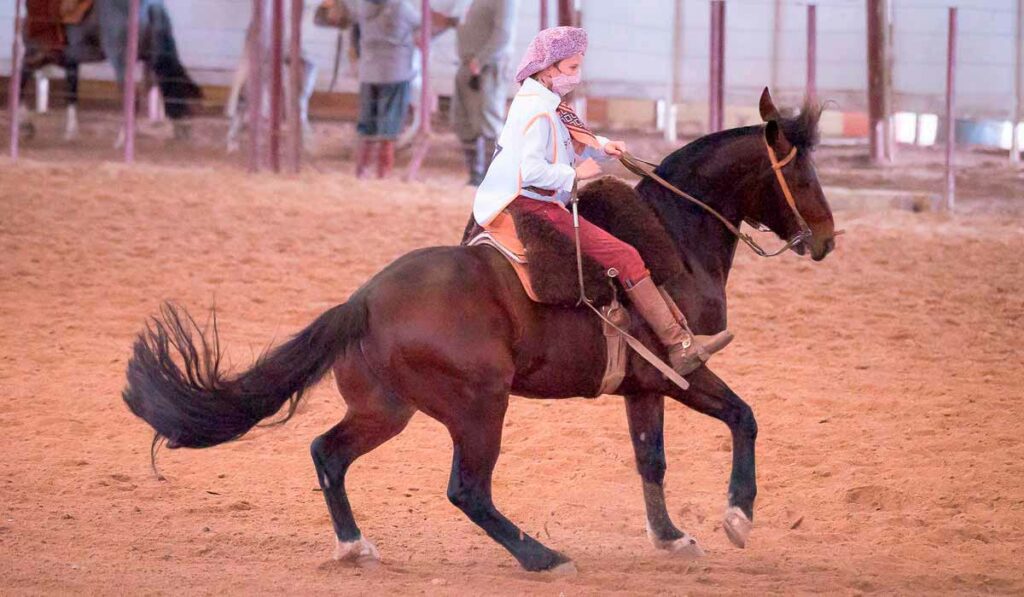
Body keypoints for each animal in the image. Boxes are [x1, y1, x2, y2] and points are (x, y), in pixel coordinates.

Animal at [18, 0, 199, 141]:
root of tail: (150, 5)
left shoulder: (34, 55)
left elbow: (20, 82)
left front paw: (26, 126)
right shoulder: (71, 61)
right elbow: (71, 93)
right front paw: (71, 132)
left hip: (121, 61)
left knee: (132, 97)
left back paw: (122, 139)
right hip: (154, 58)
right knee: (170, 83)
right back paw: (179, 127)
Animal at [123, 90, 835, 573]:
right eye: (802, 174)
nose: (827, 239)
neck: (679, 237)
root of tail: (363, 301)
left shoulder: (641, 386)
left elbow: (650, 458)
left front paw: (671, 537)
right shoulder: (680, 371)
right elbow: (743, 416)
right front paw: (738, 515)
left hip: (388, 409)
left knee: (328, 452)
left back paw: (354, 546)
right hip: (479, 406)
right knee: (467, 489)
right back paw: (543, 556)